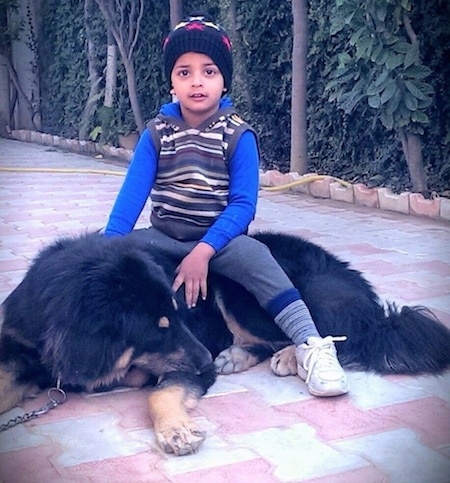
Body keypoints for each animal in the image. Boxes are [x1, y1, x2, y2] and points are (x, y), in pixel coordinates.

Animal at [0, 232, 450, 458]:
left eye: (178, 312)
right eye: (159, 327)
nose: (204, 361)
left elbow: (160, 395)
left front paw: (175, 429)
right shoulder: (22, 343)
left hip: (239, 293)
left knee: (328, 333)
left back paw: (287, 355)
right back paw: (236, 355)